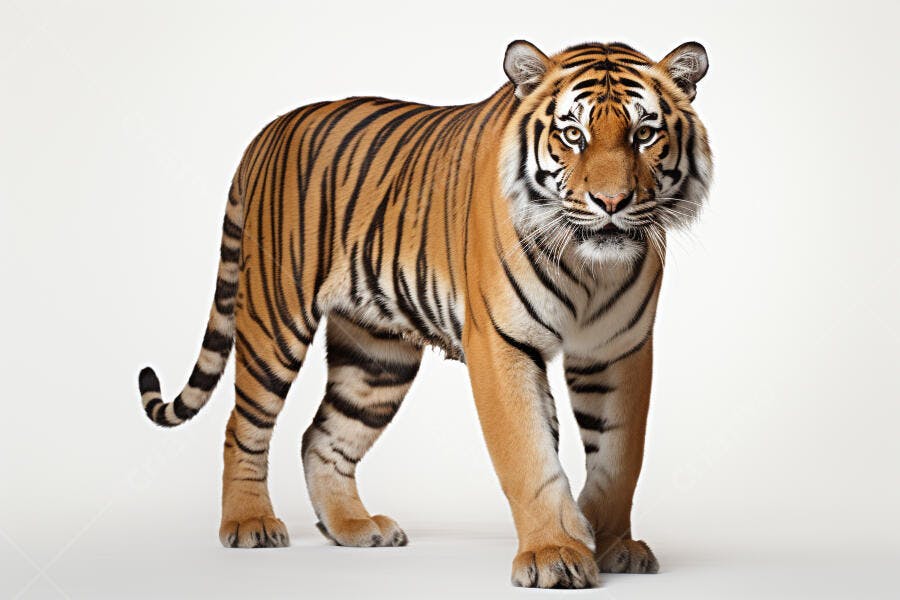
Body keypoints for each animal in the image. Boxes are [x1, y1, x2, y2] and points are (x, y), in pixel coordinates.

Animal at [137, 39, 711, 588]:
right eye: (573, 135)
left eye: (643, 134)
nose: (611, 202)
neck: (591, 268)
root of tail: (268, 132)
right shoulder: (501, 343)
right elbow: (530, 456)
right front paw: (556, 554)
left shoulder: (618, 349)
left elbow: (619, 458)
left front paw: (610, 543)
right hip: (273, 321)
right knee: (244, 424)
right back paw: (249, 523)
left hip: (376, 357)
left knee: (321, 436)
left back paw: (354, 527)